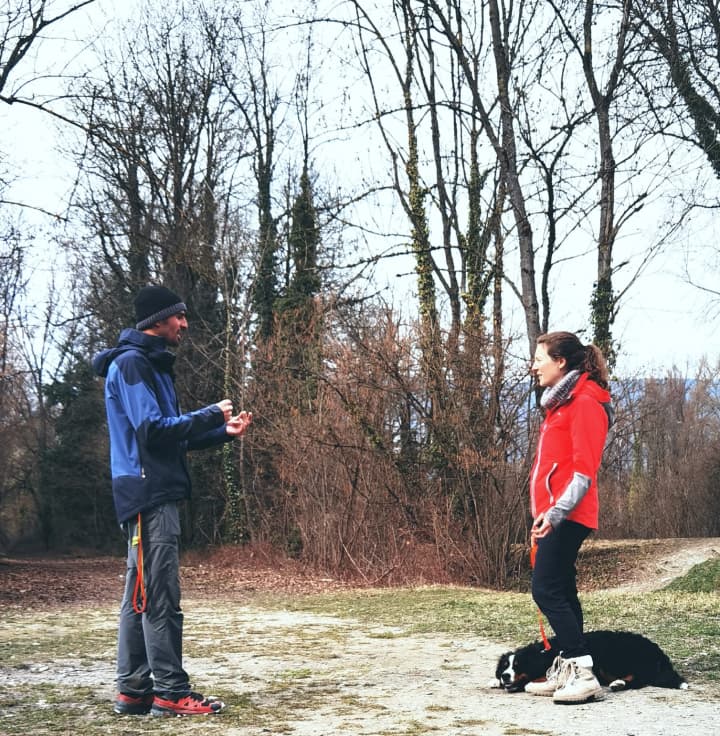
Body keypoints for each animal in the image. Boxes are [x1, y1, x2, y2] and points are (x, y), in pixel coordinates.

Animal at [492, 628, 688, 692]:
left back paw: (618, 683)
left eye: (518, 666)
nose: (505, 676)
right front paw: (495, 681)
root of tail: (656, 650)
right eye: (505, 666)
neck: (542, 653)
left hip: (612, 659)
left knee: (638, 679)